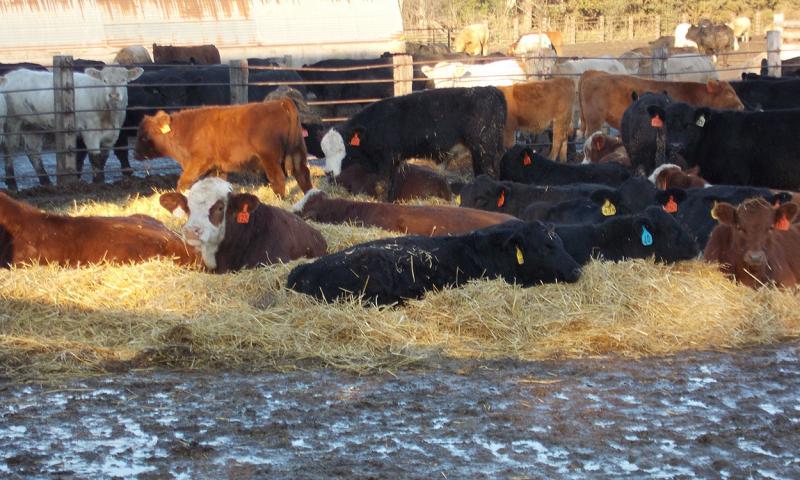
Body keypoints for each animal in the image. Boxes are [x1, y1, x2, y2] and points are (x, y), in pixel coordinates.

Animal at [1, 66, 143, 190]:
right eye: (104, 80)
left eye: (123, 80)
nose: (113, 95)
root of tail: (10, 76)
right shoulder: (90, 132)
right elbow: (95, 158)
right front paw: (98, 182)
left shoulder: (113, 135)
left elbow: (103, 158)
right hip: (12, 121)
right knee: (9, 148)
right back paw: (11, 182)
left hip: (33, 125)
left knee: (32, 151)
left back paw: (46, 181)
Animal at [134, 100, 311, 196]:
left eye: (144, 137)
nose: (135, 155)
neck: (187, 130)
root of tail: (280, 103)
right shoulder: (217, 168)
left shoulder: (199, 162)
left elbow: (184, 182)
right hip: (297, 153)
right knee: (302, 174)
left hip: (270, 159)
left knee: (278, 178)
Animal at [320, 87, 507, 195]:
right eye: (324, 152)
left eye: (342, 149)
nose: (328, 172)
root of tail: (491, 90)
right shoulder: (395, 161)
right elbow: (392, 185)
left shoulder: (386, 159)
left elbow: (382, 185)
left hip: (484, 150)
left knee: (489, 174)